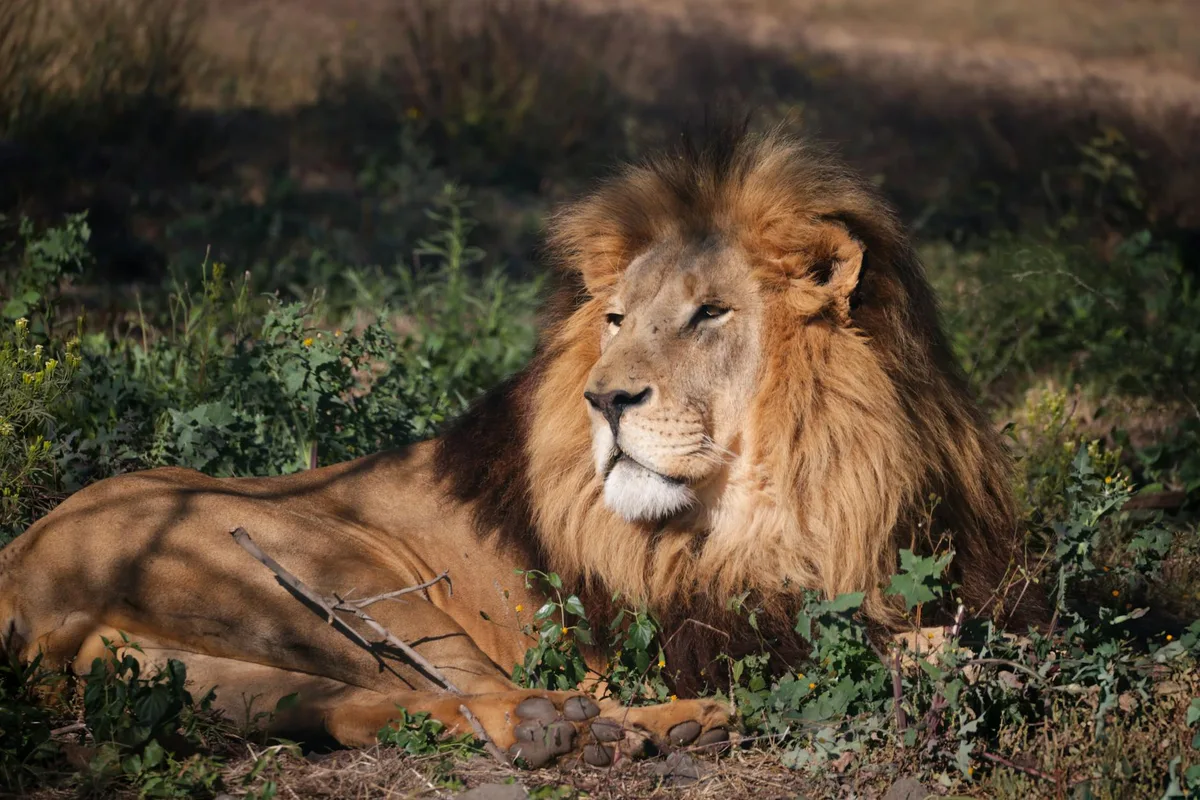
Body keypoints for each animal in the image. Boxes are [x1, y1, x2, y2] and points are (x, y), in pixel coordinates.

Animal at [0, 123, 1043, 767]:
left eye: (709, 314)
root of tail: (19, 573)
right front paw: (943, 654)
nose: (605, 398)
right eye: (616, 318)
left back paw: (596, 732)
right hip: (320, 567)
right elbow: (873, 646)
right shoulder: (696, 624)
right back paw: (610, 730)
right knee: (478, 692)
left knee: (359, 704)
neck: (799, 486)